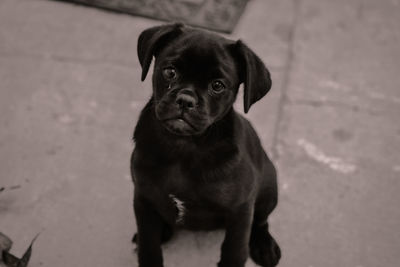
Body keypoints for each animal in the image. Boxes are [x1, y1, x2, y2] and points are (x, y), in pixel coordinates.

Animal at [132, 23, 282, 267]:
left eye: (217, 86)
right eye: (170, 72)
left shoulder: (240, 209)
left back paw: (264, 245)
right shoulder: (144, 198)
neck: (184, 146)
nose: (185, 100)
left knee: (261, 221)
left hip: (269, 189)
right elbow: (149, 245)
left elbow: (234, 250)